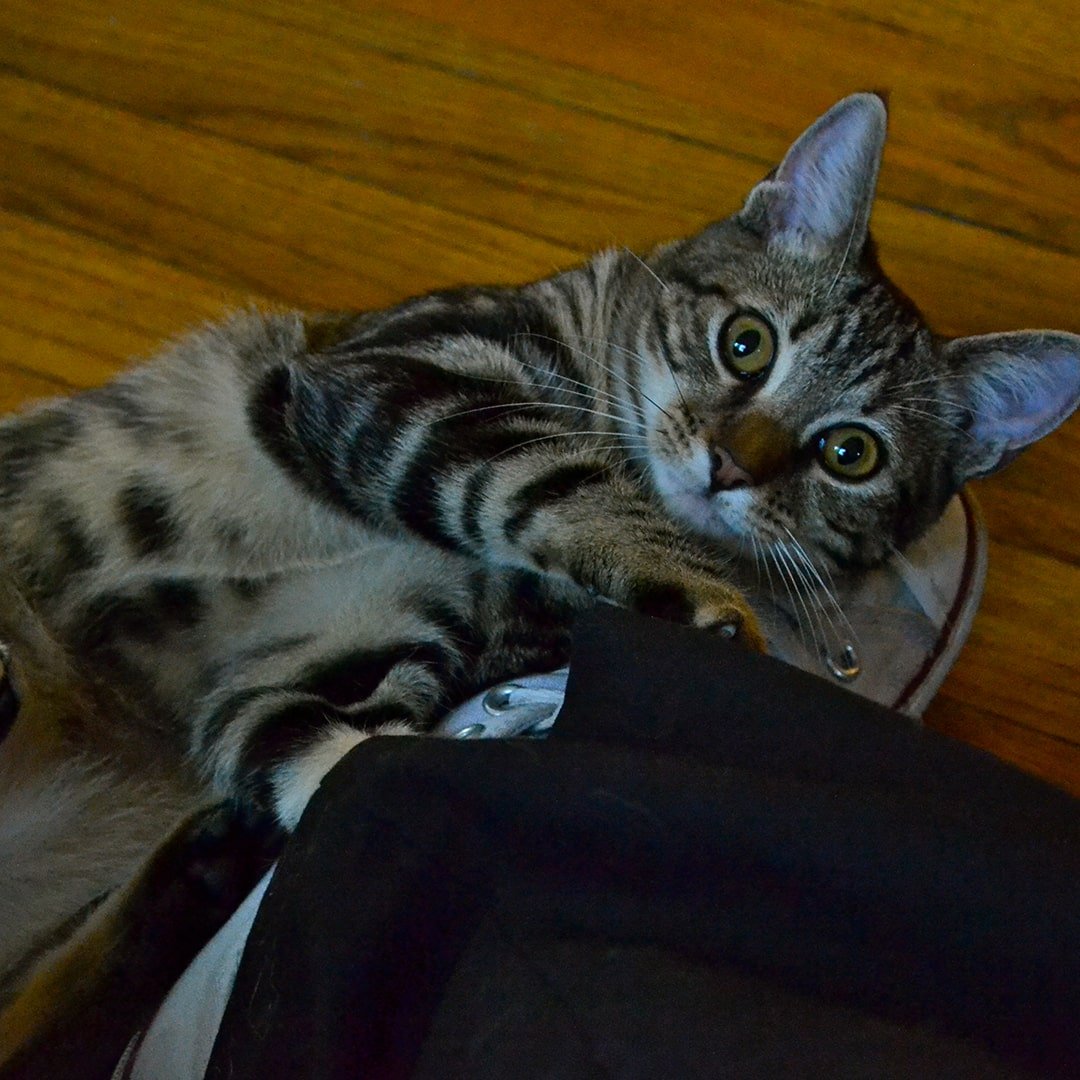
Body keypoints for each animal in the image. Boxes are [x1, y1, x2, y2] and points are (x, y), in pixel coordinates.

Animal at [0, 93, 1078, 1076]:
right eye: (747, 342)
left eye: (851, 454)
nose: (731, 465)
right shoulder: (392, 376)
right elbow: (544, 477)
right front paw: (693, 591)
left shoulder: (325, 665)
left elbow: (346, 761)